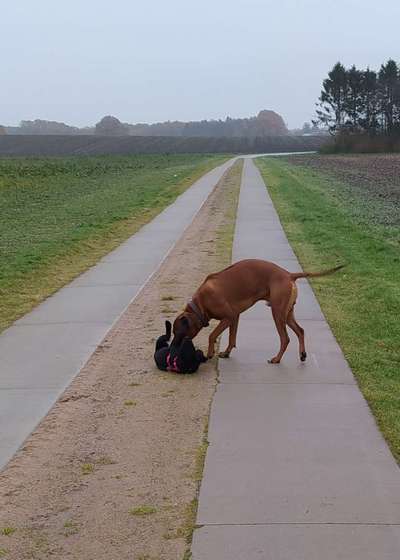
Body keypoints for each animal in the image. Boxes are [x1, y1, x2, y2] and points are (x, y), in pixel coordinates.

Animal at [172, 260, 344, 366]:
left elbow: (212, 335)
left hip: (277, 312)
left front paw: (209, 353)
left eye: (179, 332)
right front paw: (226, 353)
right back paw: (302, 354)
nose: (173, 346)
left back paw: (276, 359)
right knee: (300, 330)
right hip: (287, 313)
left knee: (285, 338)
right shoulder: (235, 317)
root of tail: (289, 274)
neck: (200, 303)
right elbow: (232, 338)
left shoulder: (229, 317)